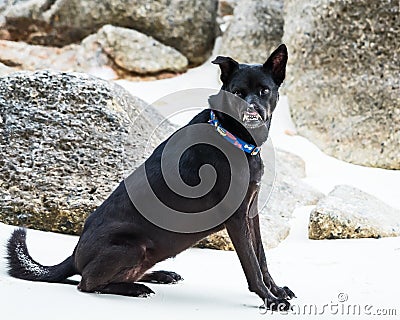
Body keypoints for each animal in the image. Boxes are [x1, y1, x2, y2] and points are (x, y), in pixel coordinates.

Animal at [5, 43, 294, 308]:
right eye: (237, 93)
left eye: (264, 91)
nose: (251, 112)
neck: (232, 135)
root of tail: (74, 254)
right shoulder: (236, 217)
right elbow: (252, 265)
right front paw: (270, 300)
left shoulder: (251, 213)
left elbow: (261, 258)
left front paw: (276, 291)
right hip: (131, 246)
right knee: (87, 283)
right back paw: (136, 289)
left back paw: (158, 275)